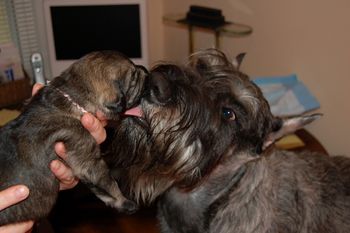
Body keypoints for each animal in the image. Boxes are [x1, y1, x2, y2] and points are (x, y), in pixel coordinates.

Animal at [0, 50, 147, 225]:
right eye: (133, 78)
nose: (146, 70)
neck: (72, 97)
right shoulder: (88, 157)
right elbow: (108, 182)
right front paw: (125, 202)